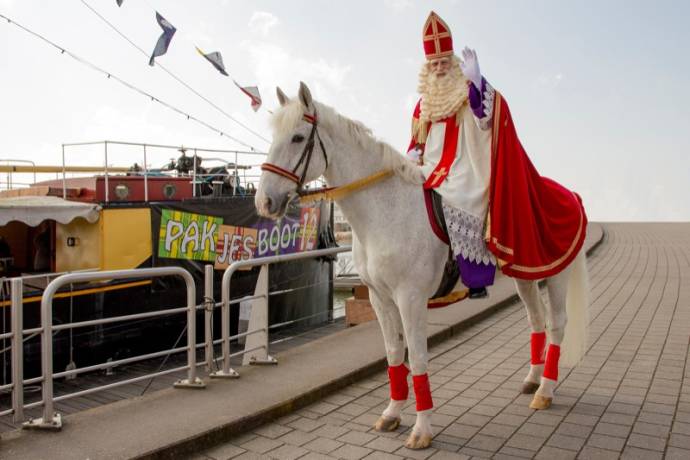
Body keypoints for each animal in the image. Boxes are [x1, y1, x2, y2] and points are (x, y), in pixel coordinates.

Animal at [255, 82, 588, 450]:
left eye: (298, 137)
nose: (264, 202)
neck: (385, 210)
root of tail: (570, 193)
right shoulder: (380, 298)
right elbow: (393, 353)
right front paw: (391, 413)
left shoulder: (410, 298)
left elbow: (416, 357)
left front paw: (422, 429)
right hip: (526, 276)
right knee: (536, 320)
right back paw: (532, 380)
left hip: (555, 275)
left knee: (556, 324)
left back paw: (546, 390)